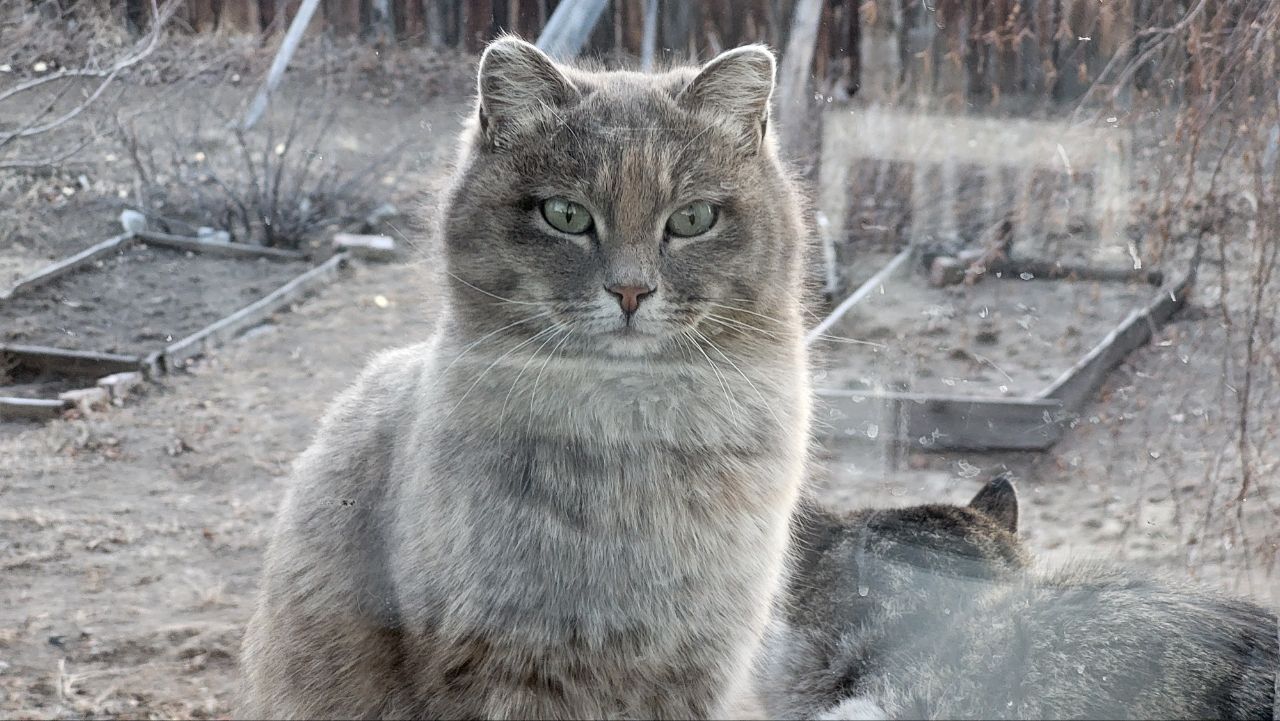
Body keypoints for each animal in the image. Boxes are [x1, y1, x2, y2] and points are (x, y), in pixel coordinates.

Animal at [240, 35, 808, 721]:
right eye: (565, 214)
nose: (630, 291)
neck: (628, 441)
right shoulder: (494, 666)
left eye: (694, 218)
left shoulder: (699, 668)